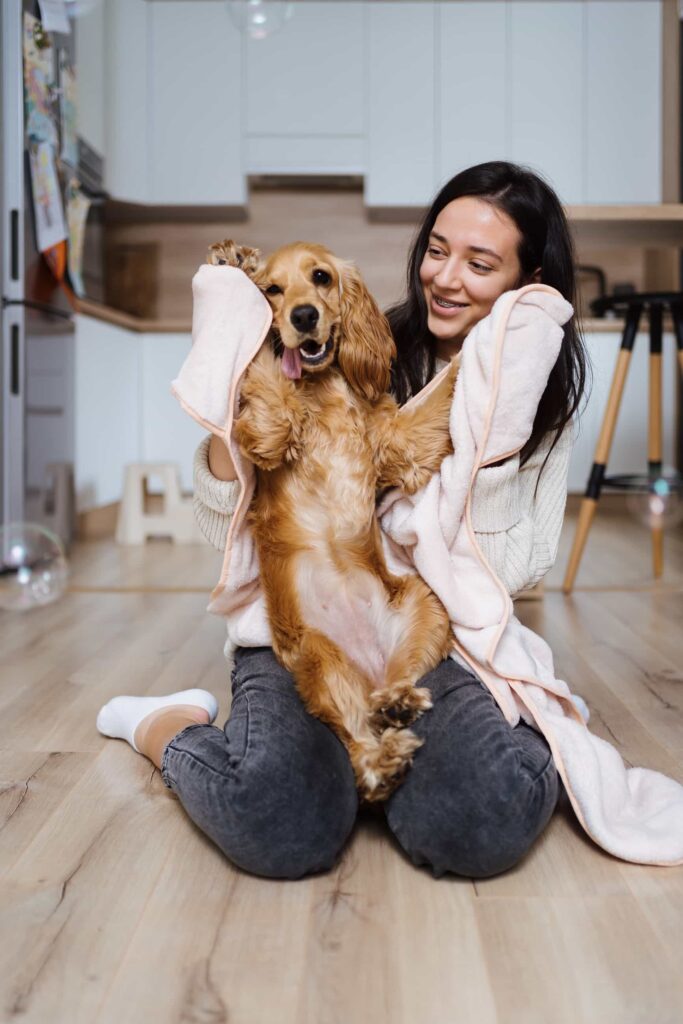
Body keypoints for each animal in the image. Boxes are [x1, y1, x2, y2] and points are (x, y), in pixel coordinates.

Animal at [205, 237, 456, 798]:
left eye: (320, 277)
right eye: (273, 290)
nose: (303, 316)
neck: (326, 388)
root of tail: (369, 671)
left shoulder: (398, 444)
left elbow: (443, 395)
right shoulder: (270, 434)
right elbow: (263, 367)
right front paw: (230, 262)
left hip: (426, 609)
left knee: (397, 682)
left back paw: (397, 703)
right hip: (320, 663)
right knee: (359, 749)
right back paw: (384, 759)